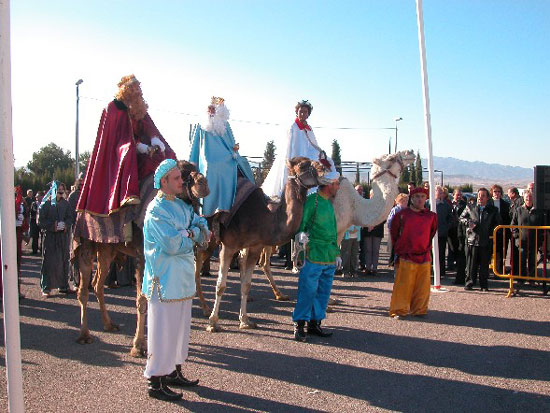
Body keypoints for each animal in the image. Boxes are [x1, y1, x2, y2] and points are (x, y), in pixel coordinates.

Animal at [73, 159, 209, 356]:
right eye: (182, 175)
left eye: (195, 169)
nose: (203, 183)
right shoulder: (143, 257)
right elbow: (143, 299)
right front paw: (138, 346)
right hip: (86, 243)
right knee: (83, 289)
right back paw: (85, 335)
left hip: (107, 249)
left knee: (97, 284)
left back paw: (109, 324)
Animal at [205, 156, 322, 330]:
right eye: (302, 165)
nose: (323, 167)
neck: (263, 216)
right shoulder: (228, 246)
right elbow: (221, 285)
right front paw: (213, 323)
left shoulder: (255, 247)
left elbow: (246, 285)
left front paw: (245, 321)